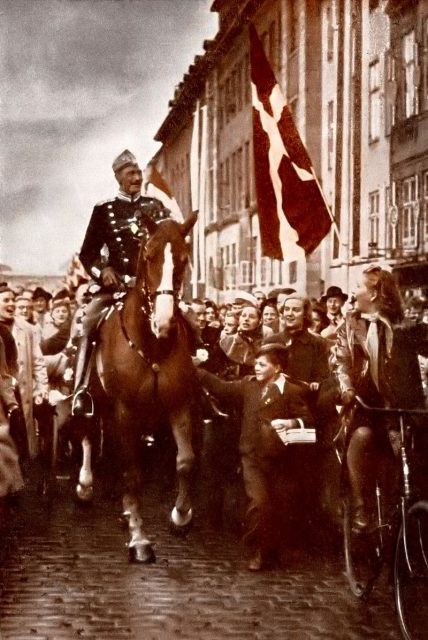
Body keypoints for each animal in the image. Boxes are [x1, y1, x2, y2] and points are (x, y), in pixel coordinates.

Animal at [92, 212, 197, 564]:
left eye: (183, 259)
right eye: (149, 256)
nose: (163, 323)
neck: (152, 346)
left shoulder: (178, 404)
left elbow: (185, 461)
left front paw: (181, 516)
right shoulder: (125, 411)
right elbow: (133, 473)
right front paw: (139, 539)